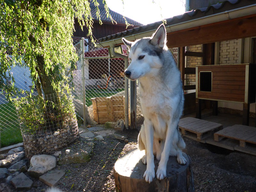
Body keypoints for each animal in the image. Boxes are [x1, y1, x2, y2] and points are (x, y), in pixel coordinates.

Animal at [122, 24, 186, 183]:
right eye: (130, 59)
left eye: (141, 57)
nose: (126, 72)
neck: (155, 85)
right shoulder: (149, 122)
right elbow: (150, 153)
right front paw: (150, 171)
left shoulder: (172, 122)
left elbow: (166, 154)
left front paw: (161, 171)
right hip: (142, 132)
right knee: (148, 151)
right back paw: (145, 158)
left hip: (176, 135)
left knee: (176, 150)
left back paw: (181, 157)